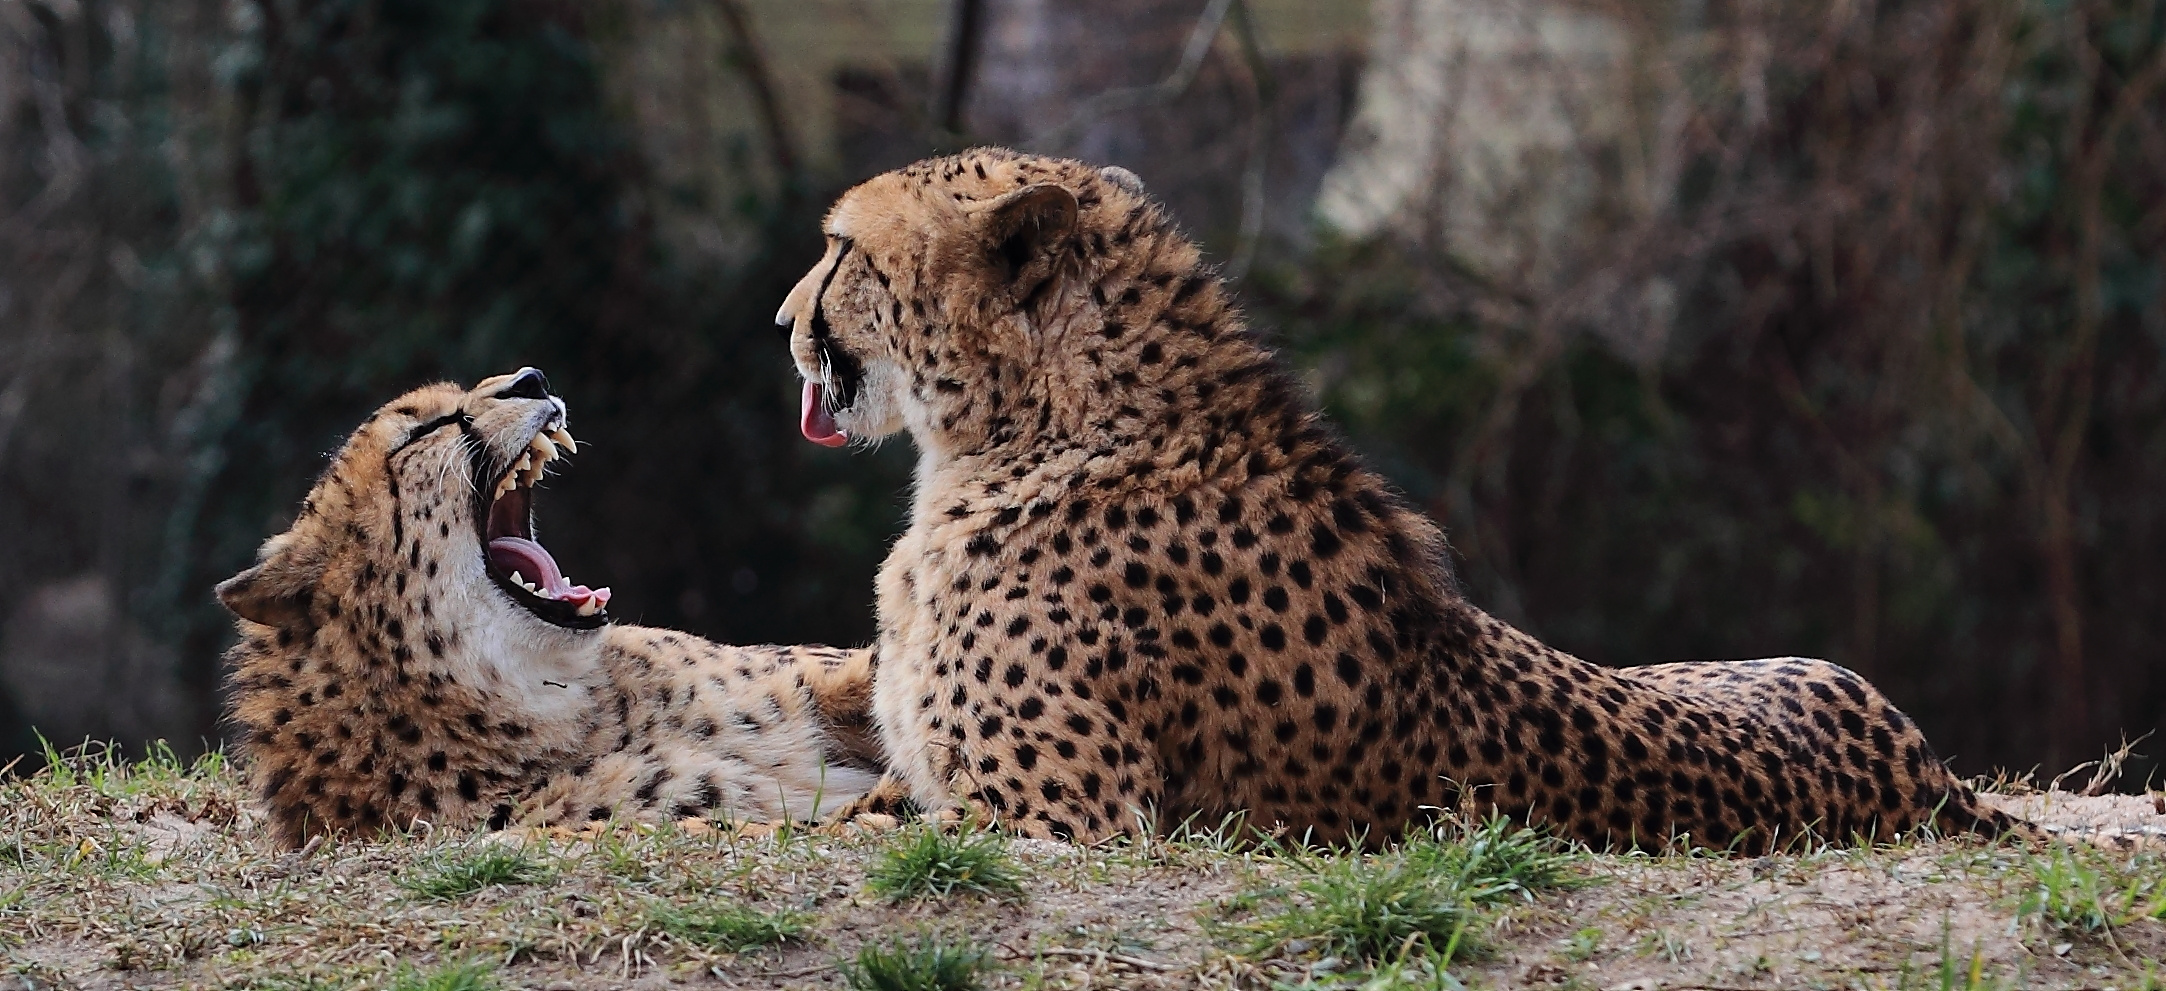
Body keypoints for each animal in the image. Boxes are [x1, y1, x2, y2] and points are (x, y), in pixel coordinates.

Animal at [784, 147, 2027, 852]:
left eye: (839, 249)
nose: (785, 320)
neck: (1034, 427)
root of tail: (1930, 774)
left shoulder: (1066, 818)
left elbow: (851, 826)